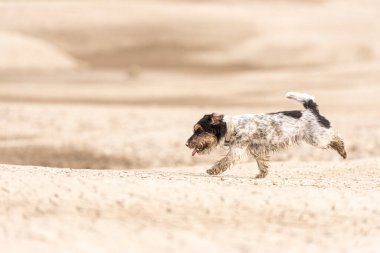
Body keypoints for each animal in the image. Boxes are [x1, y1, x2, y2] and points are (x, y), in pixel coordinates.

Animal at [186, 91, 346, 178]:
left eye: (199, 130)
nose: (187, 144)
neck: (231, 126)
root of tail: (311, 110)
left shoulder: (237, 150)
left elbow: (223, 161)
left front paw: (212, 170)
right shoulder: (258, 150)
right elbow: (262, 164)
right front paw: (262, 175)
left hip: (318, 138)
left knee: (336, 138)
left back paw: (343, 151)